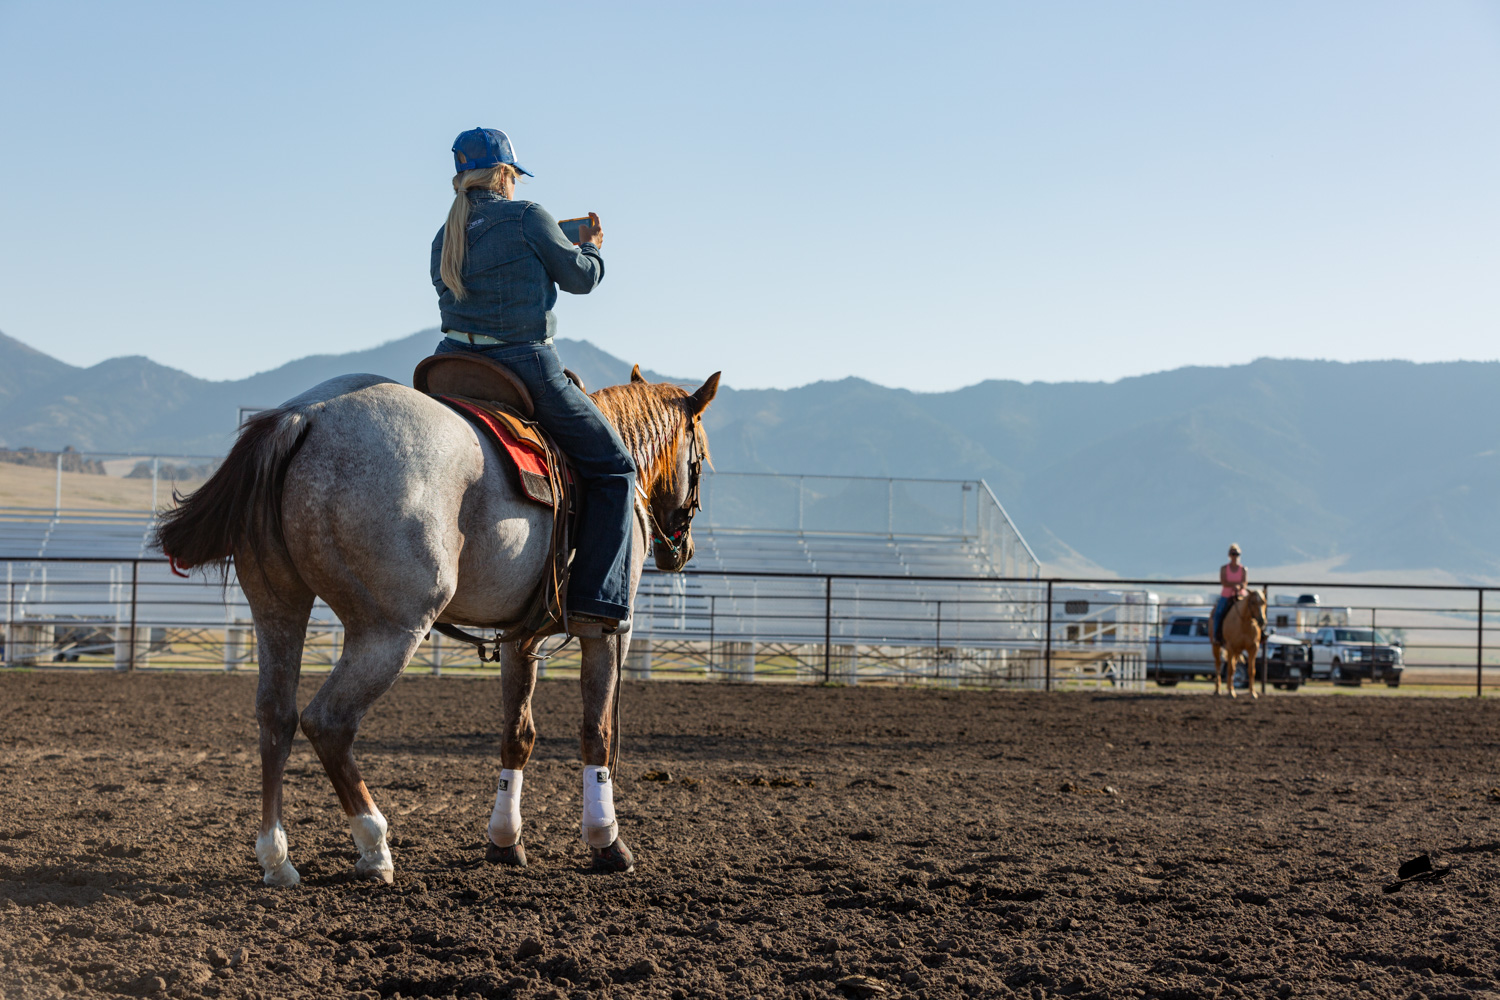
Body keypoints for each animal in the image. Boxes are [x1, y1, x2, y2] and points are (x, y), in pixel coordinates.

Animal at [155, 364, 719, 885]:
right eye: (700, 461)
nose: (682, 550)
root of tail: (306, 415)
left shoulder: (520, 638)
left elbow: (517, 735)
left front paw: (504, 842)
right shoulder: (606, 630)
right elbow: (596, 732)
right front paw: (607, 843)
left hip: (277, 606)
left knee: (277, 716)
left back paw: (277, 859)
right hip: (391, 630)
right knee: (328, 722)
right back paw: (374, 847)